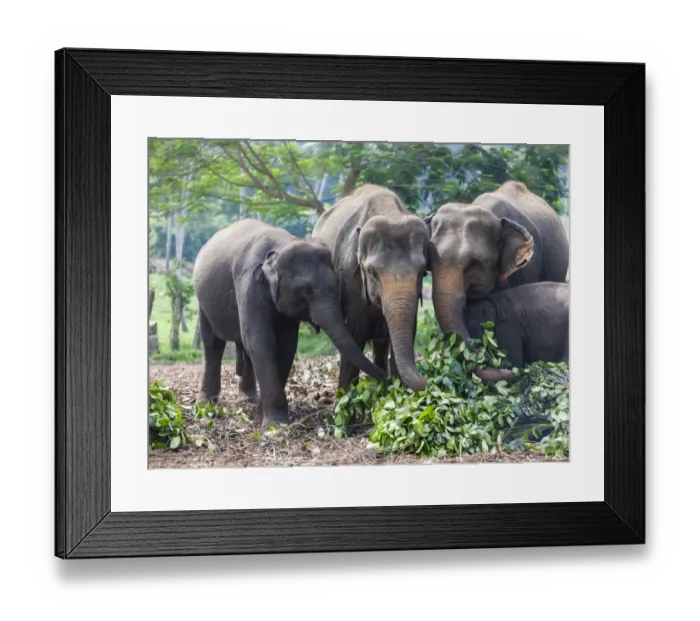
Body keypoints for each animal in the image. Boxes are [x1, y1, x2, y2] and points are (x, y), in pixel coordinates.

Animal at [192, 219, 387, 426]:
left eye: (337, 285)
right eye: (306, 290)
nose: (389, 378)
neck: (281, 247)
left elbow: (287, 345)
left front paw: (263, 415)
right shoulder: (248, 284)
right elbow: (260, 340)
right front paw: (275, 423)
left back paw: (248, 400)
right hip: (202, 301)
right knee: (213, 343)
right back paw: (206, 403)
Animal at [312, 184, 430, 392]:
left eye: (422, 271)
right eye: (373, 272)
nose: (427, 382)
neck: (390, 212)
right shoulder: (349, 277)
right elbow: (355, 334)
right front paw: (345, 399)